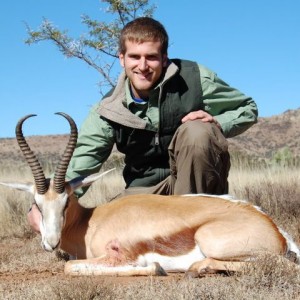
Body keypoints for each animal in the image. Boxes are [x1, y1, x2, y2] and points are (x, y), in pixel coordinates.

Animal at [1, 114, 298, 276]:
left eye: (66, 202)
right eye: (36, 204)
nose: (50, 243)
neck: (90, 222)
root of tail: (276, 232)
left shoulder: (118, 256)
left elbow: (69, 267)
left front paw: (156, 268)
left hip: (215, 243)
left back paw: (195, 269)